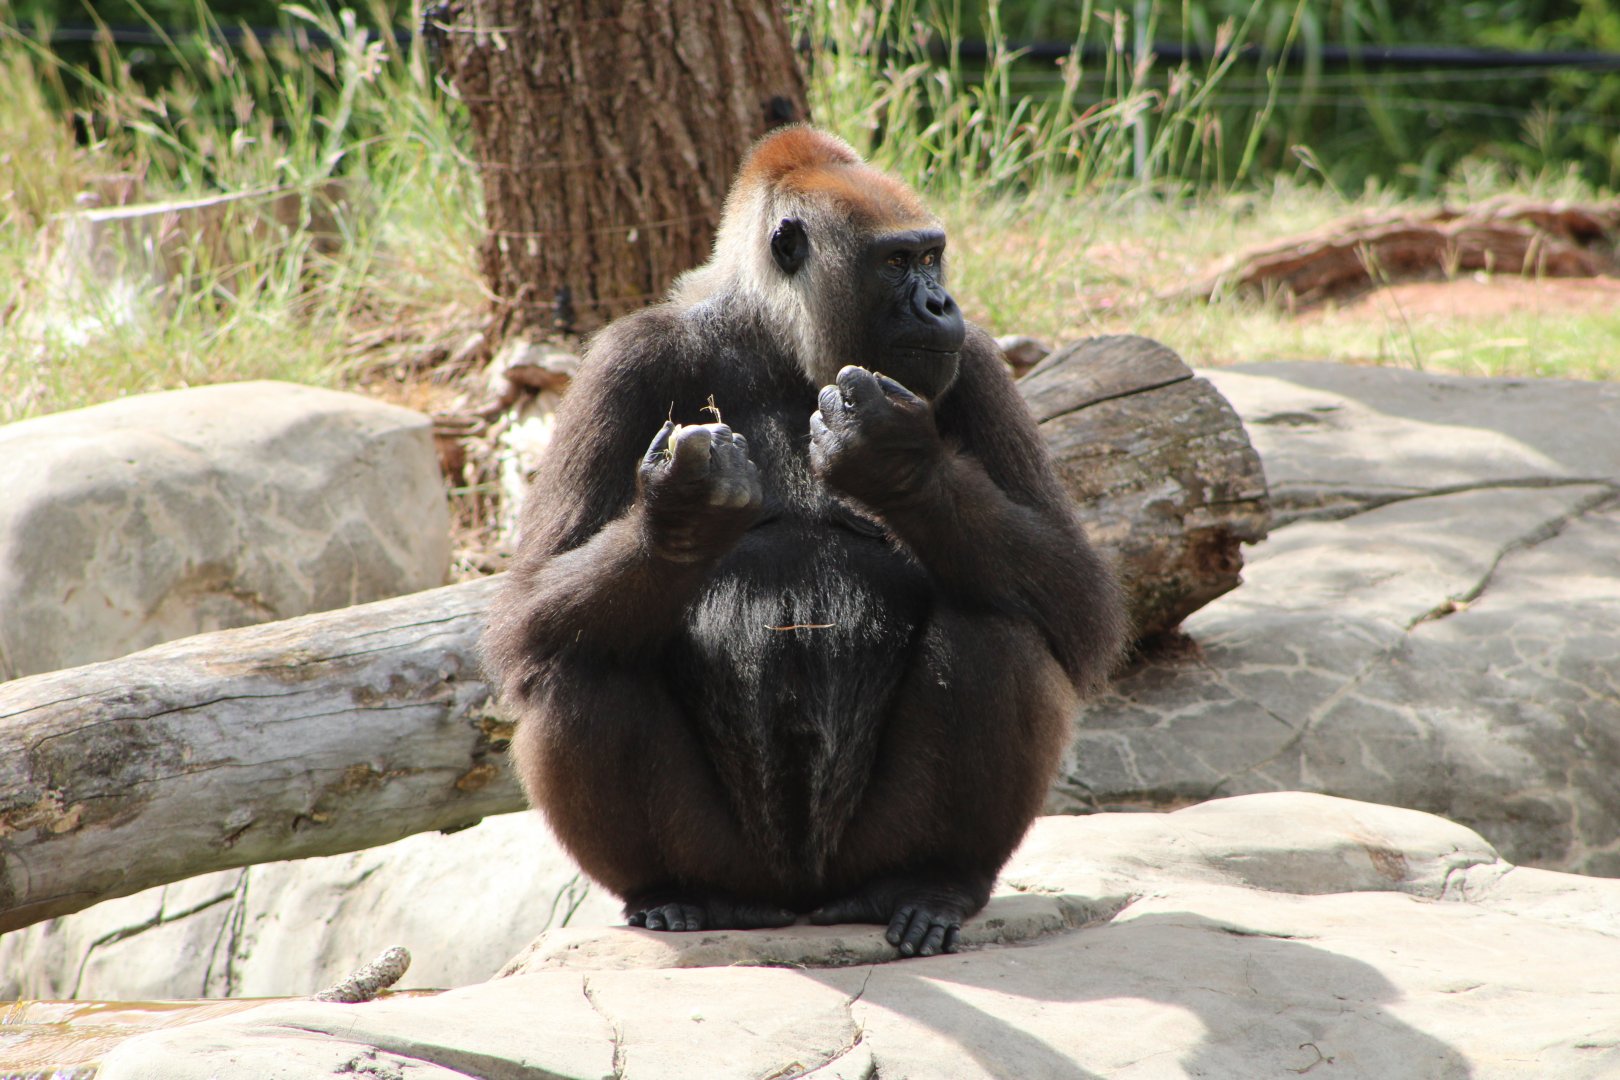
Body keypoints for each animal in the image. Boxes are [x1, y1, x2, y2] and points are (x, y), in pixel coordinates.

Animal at [483, 126, 1127, 958]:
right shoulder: (626, 358)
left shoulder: (977, 361)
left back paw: (932, 881)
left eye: (932, 257)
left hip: (862, 855)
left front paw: (900, 462)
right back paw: (677, 891)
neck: (777, 339)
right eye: (897, 263)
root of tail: (801, 899)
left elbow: (1078, 598)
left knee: (1001, 628)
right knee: (580, 660)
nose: (941, 303)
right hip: (738, 862)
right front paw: (681, 517)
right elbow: (528, 613)